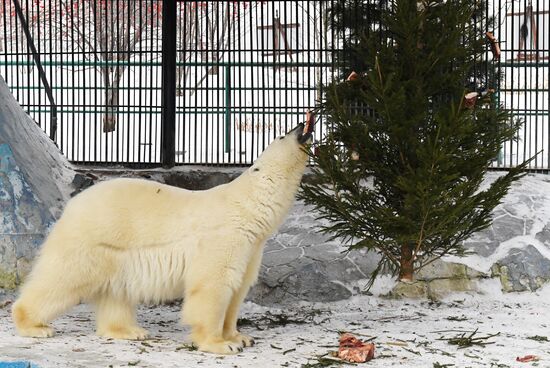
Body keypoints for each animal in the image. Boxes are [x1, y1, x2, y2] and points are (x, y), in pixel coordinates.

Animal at [11, 121, 314, 354]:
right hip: (90, 242)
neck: (246, 208)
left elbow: (238, 289)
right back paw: (35, 325)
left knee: (115, 292)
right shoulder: (222, 238)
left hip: (116, 253)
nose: (303, 124)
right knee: (62, 279)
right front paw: (219, 344)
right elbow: (213, 286)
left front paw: (240, 337)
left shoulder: (251, 248)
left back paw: (130, 331)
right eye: (283, 134)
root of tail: (72, 205)